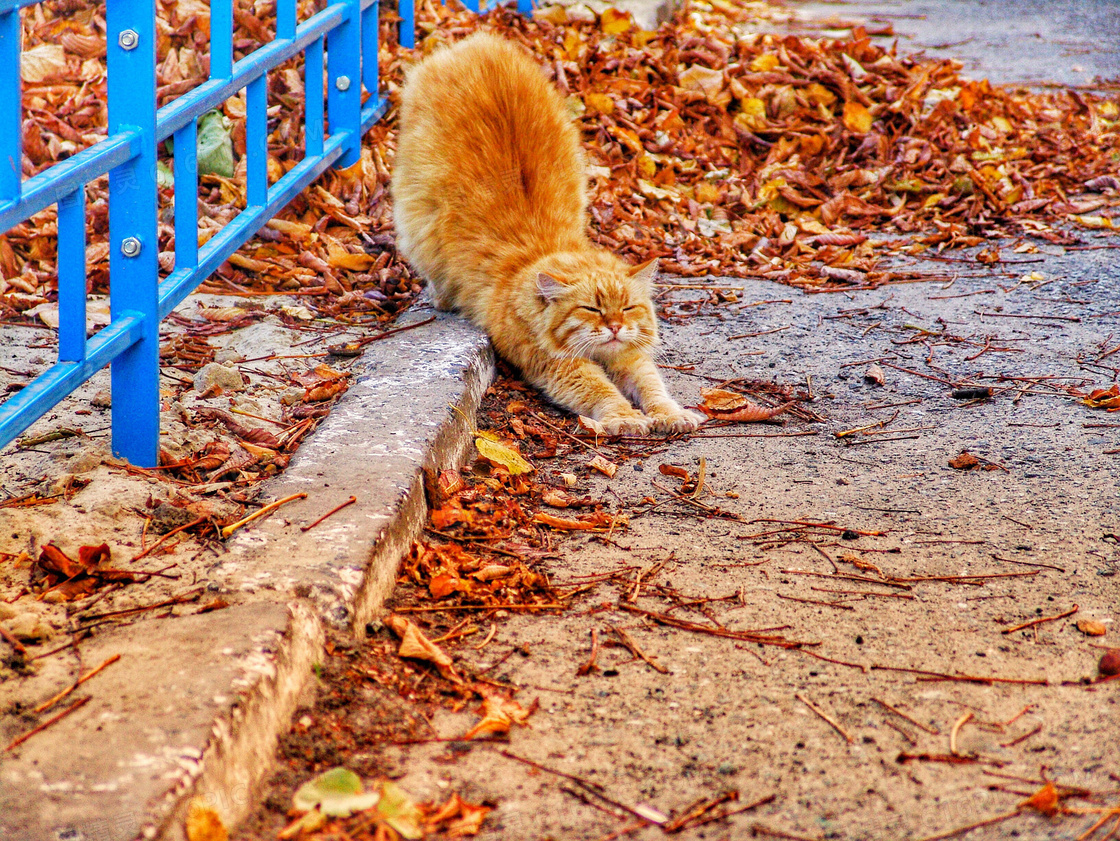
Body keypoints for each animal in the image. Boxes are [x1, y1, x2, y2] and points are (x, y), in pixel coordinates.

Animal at [392, 29, 698, 436]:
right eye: (592, 309)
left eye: (627, 308)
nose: (616, 327)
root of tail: (479, 42)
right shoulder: (562, 366)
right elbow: (604, 390)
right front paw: (625, 418)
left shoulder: (631, 356)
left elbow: (653, 386)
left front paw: (669, 414)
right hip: (417, 217)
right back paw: (444, 296)